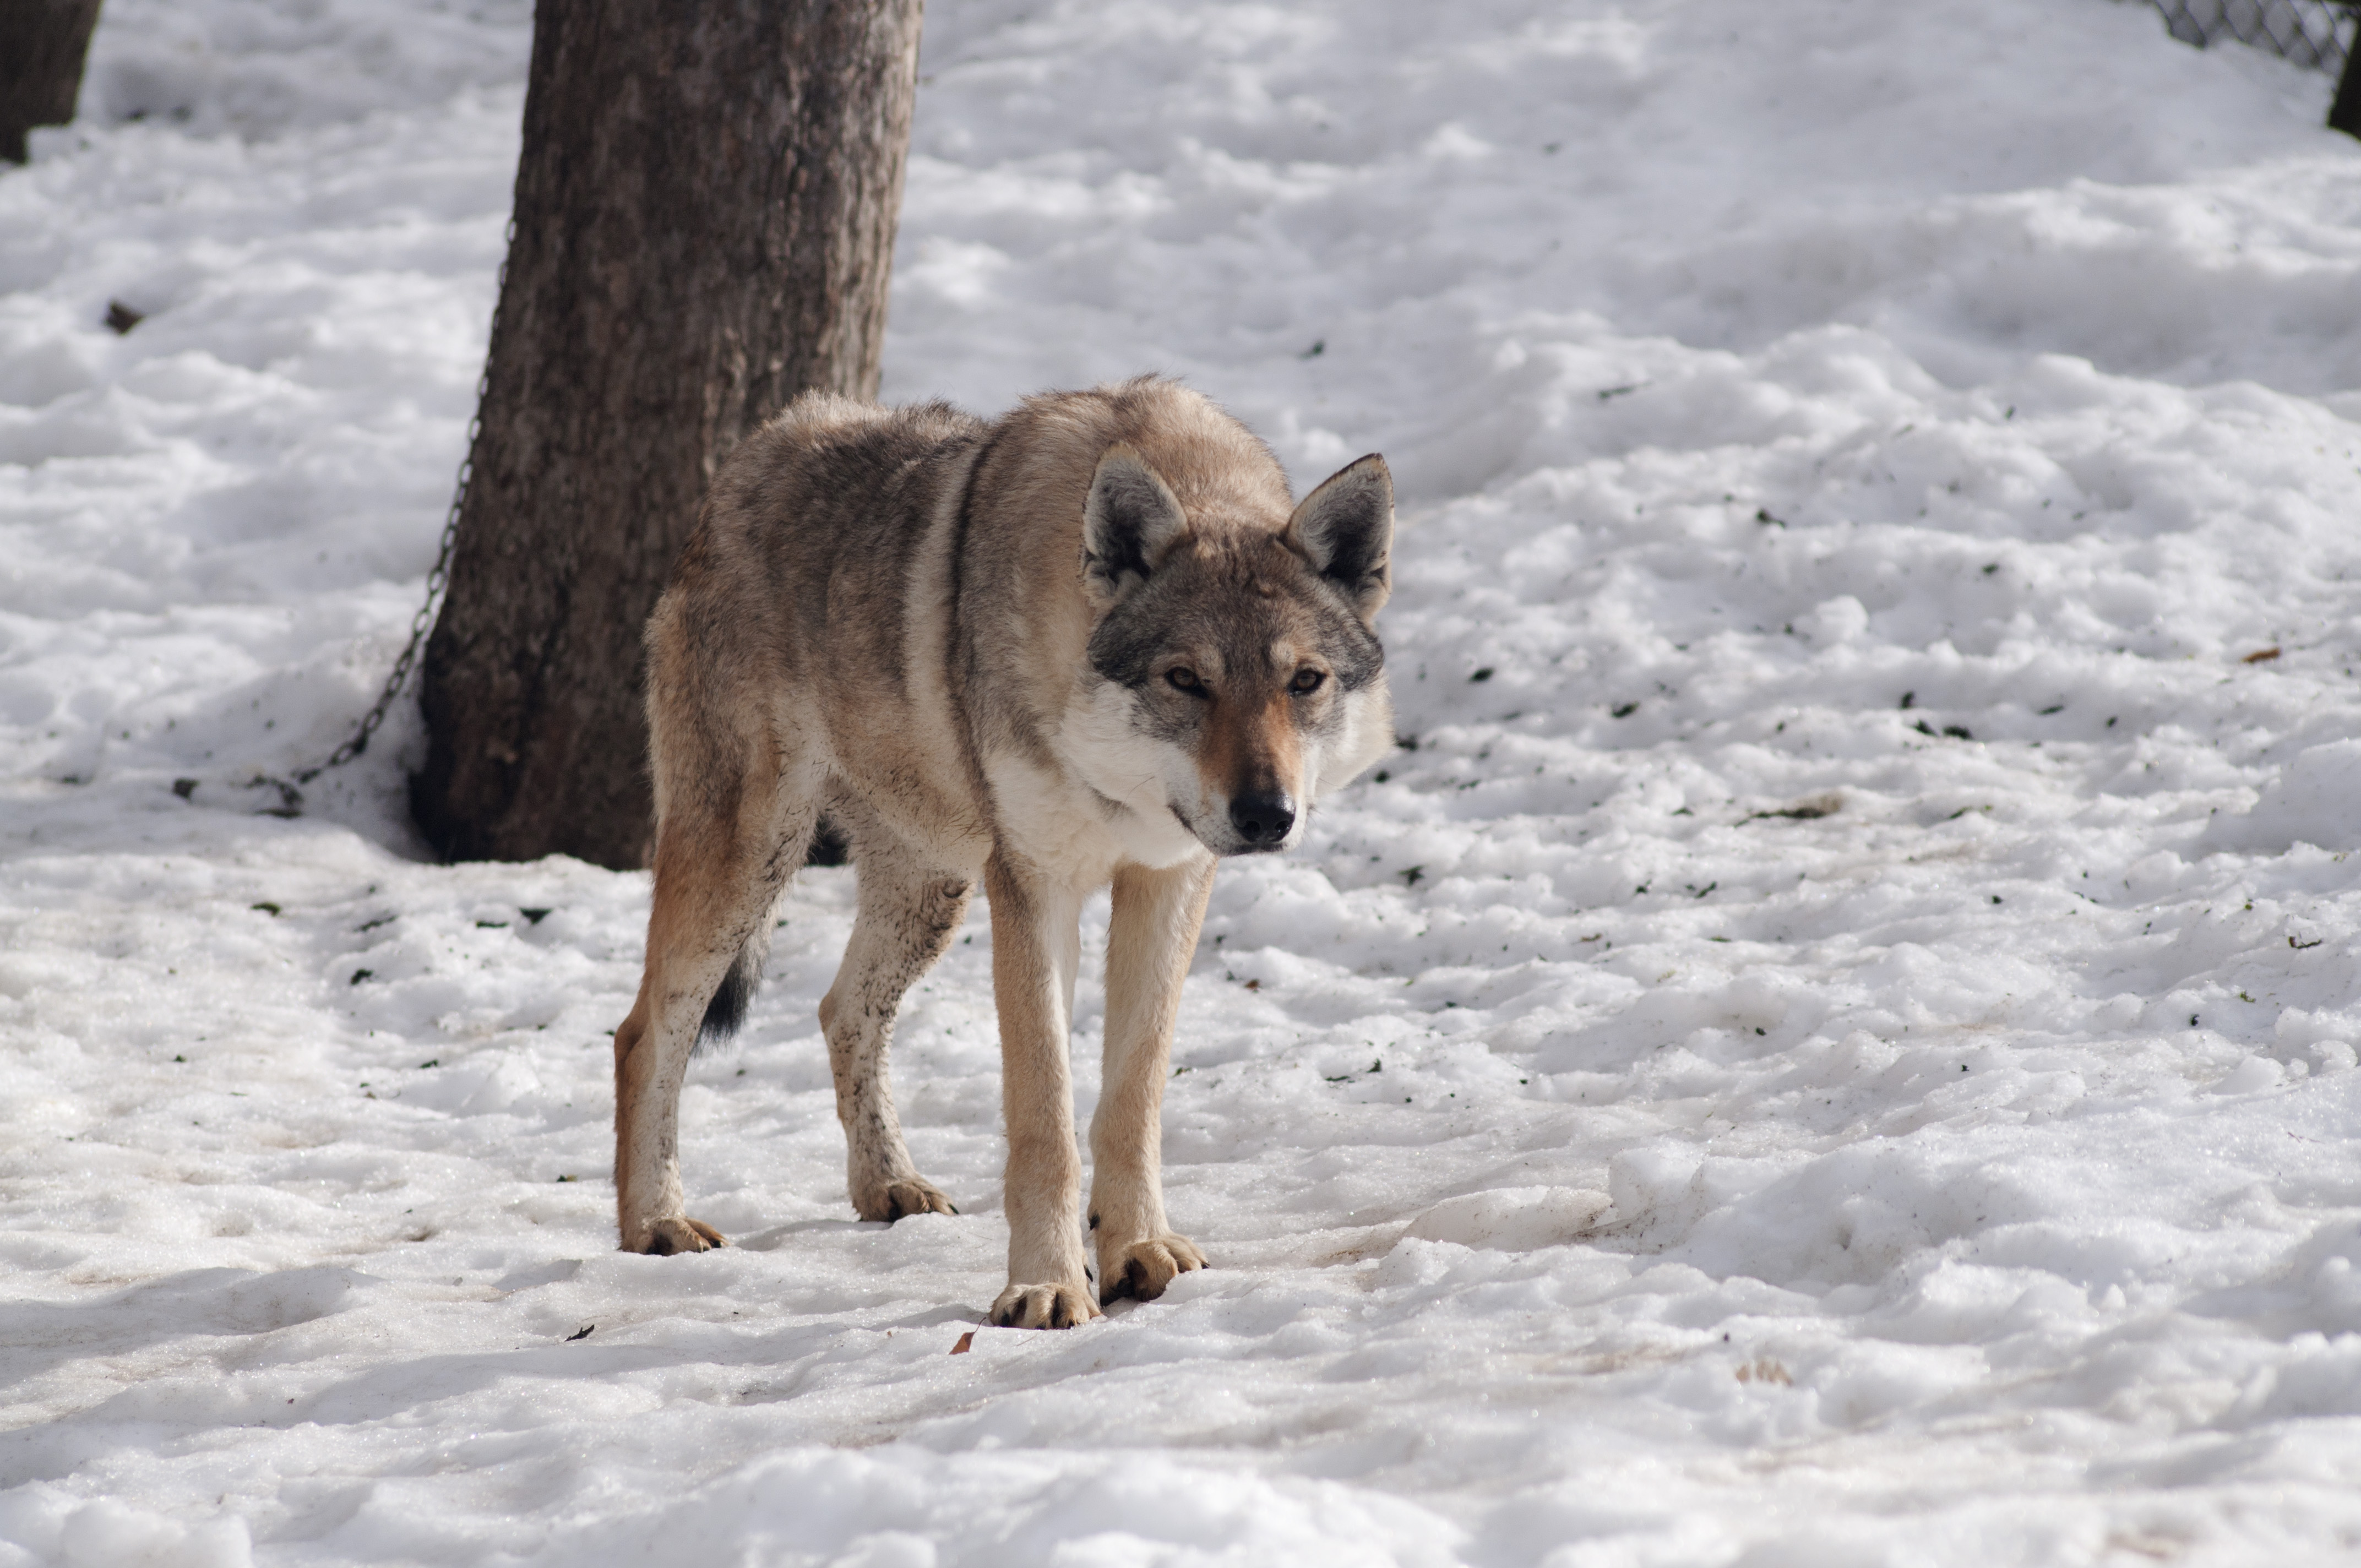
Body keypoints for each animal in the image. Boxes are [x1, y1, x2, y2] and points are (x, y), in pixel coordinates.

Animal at [611, 376, 1396, 1328]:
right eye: (1186, 680)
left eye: (1304, 682)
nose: (1267, 815)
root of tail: (762, 446)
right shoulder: (1033, 888)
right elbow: (1046, 1120)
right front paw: (1049, 1287)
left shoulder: (1168, 880)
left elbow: (1132, 1099)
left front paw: (1137, 1252)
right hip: (750, 862)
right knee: (644, 1034)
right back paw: (656, 1224)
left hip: (931, 887)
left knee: (842, 1010)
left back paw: (889, 1187)